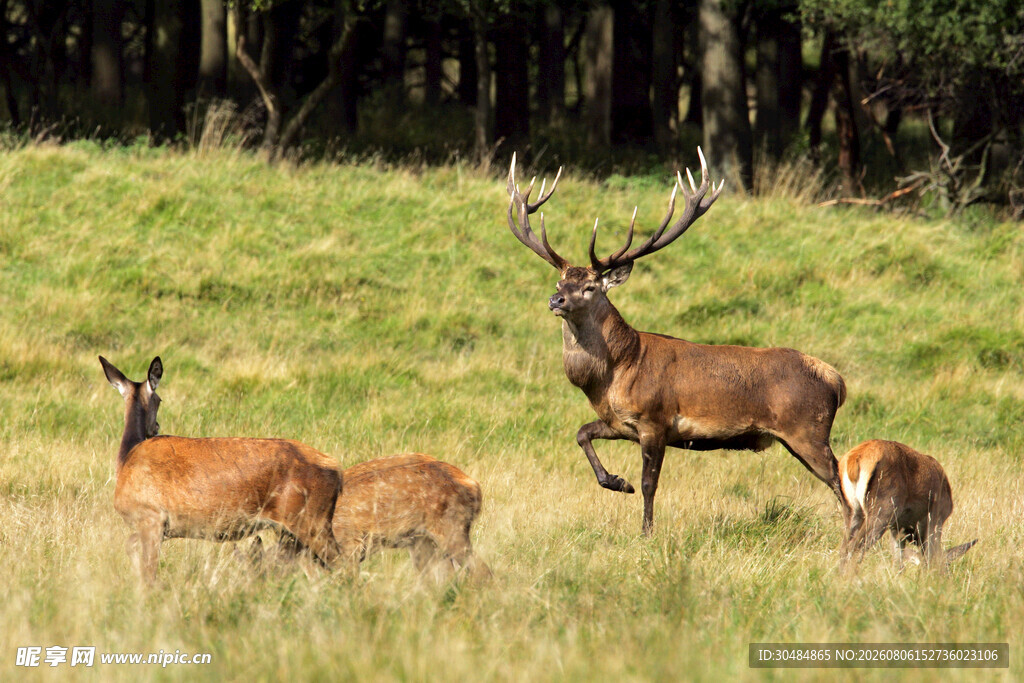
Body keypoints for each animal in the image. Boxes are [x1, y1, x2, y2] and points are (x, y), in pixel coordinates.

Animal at [100, 355, 344, 582]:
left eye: (159, 399)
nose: (156, 427)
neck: (126, 460)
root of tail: (337, 469)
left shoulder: (150, 516)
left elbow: (148, 571)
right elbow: (131, 547)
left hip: (311, 519)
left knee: (342, 562)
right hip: (292, 531)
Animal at [506, 149, 848, 534]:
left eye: (590, 287)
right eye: (560, 281)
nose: (556, 300)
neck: (614, 374)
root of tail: (836, 380)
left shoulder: (655, 420)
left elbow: (649, 484)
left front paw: (646, 532)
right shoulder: (619, 423)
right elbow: (582, 434)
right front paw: (617, 482)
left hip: (808, 429)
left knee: (845, 482)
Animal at [838, 439, 977, 572]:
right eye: (946, 566)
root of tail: (854, 458)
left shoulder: (897, 528)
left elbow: (898, 563)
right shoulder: (934, 519)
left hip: (853, 511)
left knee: (844, 548)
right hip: (881, 513)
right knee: (855, 547)